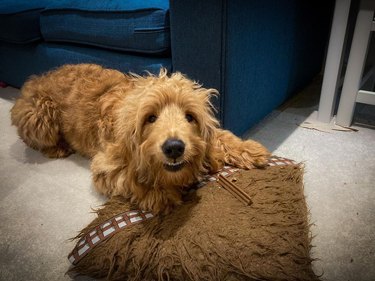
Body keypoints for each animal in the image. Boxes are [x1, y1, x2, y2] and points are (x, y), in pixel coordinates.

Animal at [11, 63, 270, 212]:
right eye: (151, 118)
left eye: (190, 116)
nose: (174, 148)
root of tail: (36, 78)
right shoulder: (107, 163)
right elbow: (128, 177)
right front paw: (160, 195)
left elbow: (222, 137)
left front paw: (249, 149)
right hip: (39, 118)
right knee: (31, 139)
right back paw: (57, 148)